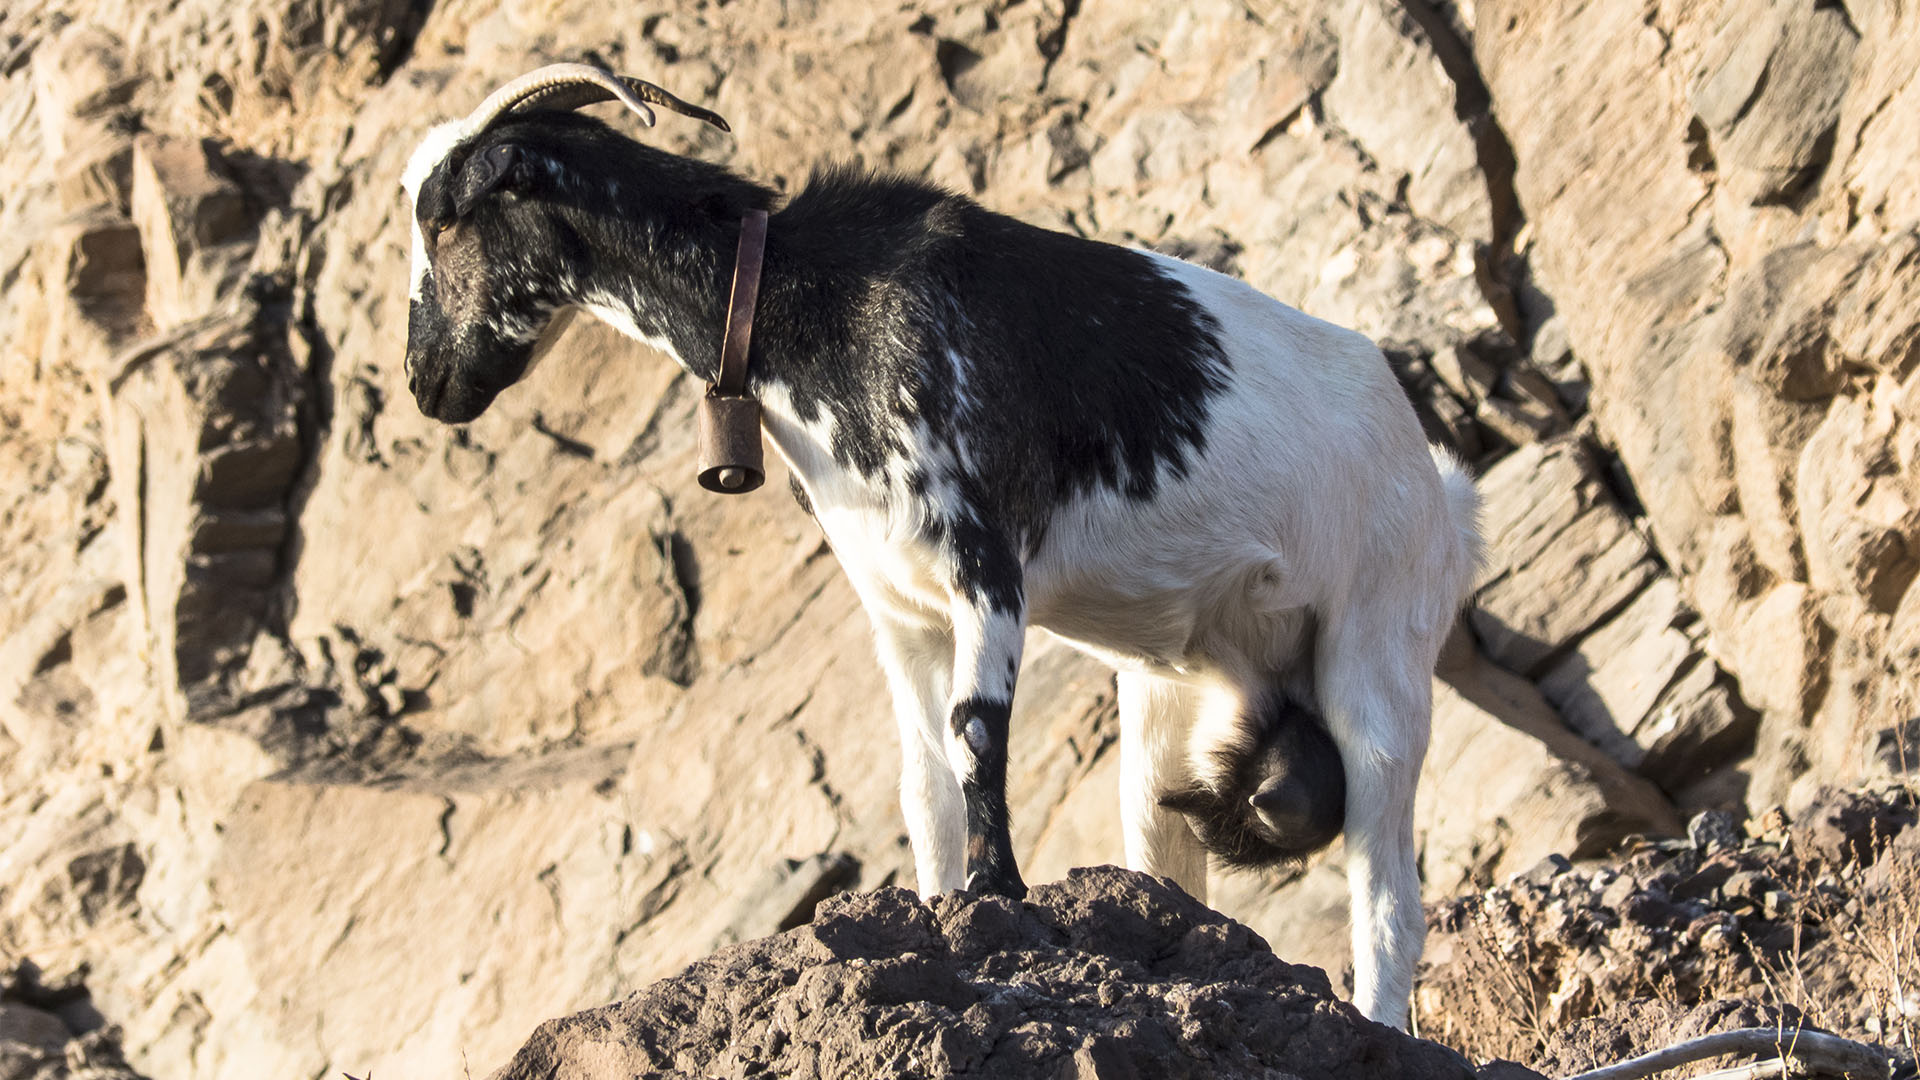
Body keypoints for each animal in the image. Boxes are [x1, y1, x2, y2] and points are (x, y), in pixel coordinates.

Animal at [401, 67, 1482, 1022]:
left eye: (443, 218)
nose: (422, 380)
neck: (816, 305)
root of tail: (1443, 488)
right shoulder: (898, 605)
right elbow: (922, 779)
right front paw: (939, 907)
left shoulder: (984, 562)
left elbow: (975, 733)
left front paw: (998, 896)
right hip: (1177, 693)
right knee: (1168, 848)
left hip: (1379, 652)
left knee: (1390, 895)